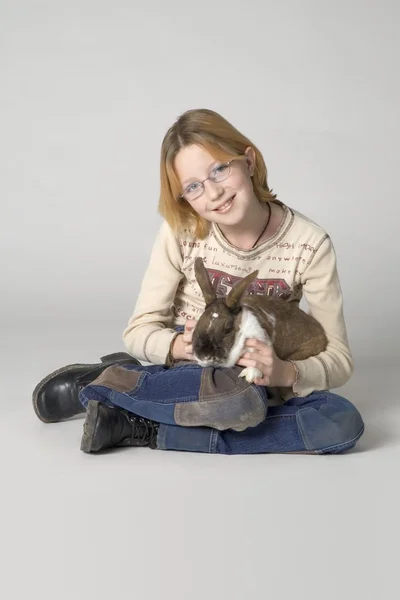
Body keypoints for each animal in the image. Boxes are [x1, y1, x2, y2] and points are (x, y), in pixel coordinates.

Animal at [191, 255, 328, 382]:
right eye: (198, 325)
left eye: (227, 329)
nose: (205, 354)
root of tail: (322, 333)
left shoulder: (259, 337)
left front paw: (249, 376)